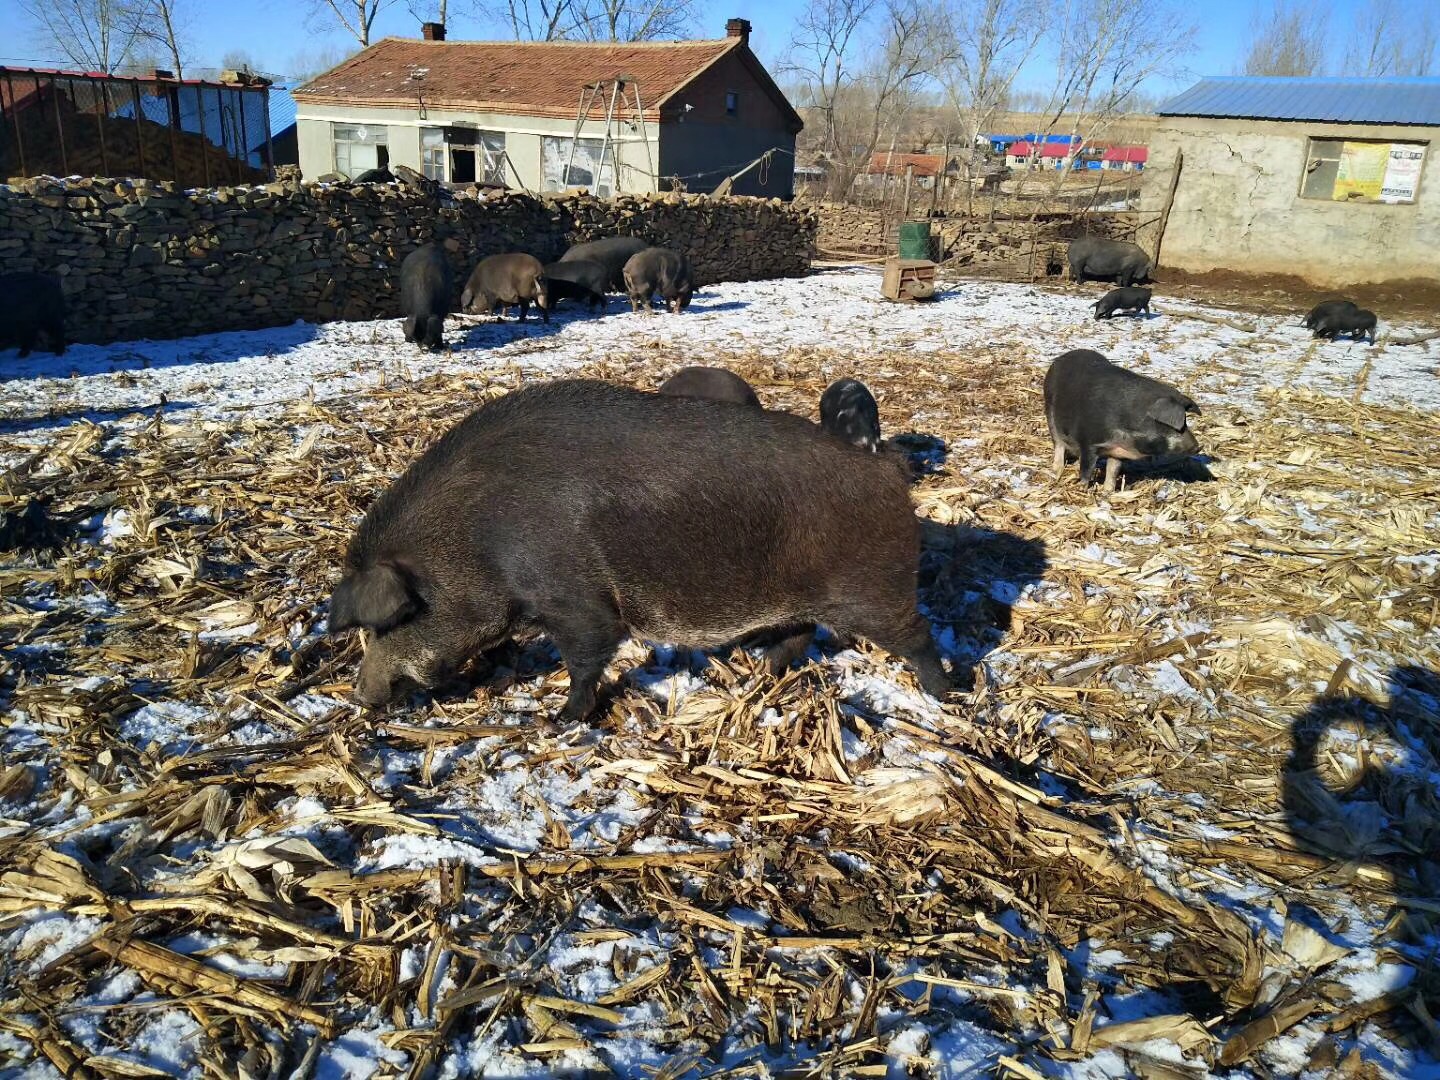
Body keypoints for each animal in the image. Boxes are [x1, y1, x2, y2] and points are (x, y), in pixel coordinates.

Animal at [329, 380, 950, 728]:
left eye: (390, 622)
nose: (360, 695)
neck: (476, 535)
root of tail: (889, 471)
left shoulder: (576, 599)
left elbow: (586, 656)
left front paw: (559, 721)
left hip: (876, 591)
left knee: (918, 636)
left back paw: (947, 696)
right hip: (802, 598)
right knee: (797, 637)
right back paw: (756, 677)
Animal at [1048, 352, 1203, 492]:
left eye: (1186, 423)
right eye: (1176, 427)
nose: (1198, 447)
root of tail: (1060, 359)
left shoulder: (1117, 451)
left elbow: (1113, 471)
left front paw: (1108, 492)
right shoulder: (1089, 442)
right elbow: (1087, 469)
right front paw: (1082, 488)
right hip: (1049, 412)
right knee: (1058, 443)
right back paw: (1056, 470)